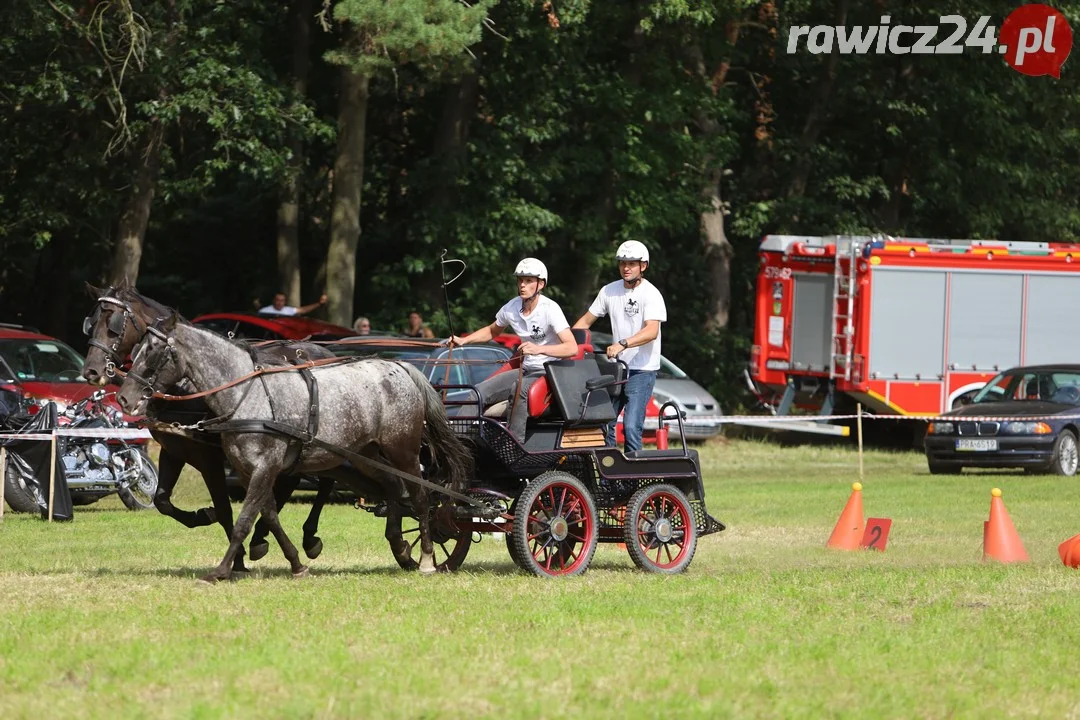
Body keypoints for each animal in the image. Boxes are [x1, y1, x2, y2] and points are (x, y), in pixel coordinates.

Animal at [81, 284, 336, 569]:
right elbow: (162, 501)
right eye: (91, 323)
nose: (91, 371)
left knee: (326, 480)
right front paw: (204, 516)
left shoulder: (209, 458)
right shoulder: (174, 451)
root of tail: (326, 352)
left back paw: (308, 537)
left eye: (114, 324)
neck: (185, 387)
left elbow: (224, 508)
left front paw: (237, 560)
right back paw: (261, 538)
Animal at [116, 315, 475, 587]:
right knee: (393, 488)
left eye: (154, 352)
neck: (247, 395)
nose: (124, 398)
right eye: (135, 349)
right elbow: (269, 515)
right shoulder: (249, 471)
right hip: (366, 453)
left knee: (420, 497)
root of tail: (402, 368)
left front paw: (221, 569)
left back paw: (426, 558)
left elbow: (245, 519)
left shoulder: (262, 467)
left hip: (402, 451)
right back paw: (400, 547)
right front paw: (295, 563)